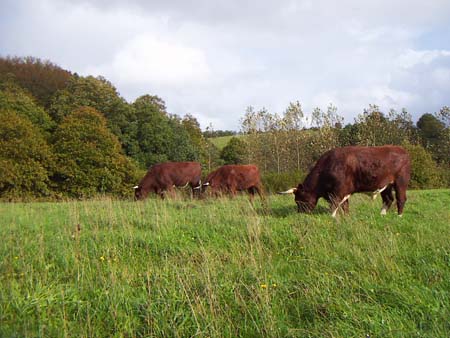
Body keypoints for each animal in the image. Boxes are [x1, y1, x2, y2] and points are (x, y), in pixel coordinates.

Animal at [278, 145, 412, 217]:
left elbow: (334, 205)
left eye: (299, 200)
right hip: (385, 185)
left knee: (401, 199)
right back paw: (382, 215)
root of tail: (402, 150)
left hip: (400, 182)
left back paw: (399, 216)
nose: (300, 214)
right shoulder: (344, 192)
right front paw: (347, 217)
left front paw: (332, 218)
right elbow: (345, 206)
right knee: (388, 199)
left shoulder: (338, 191)